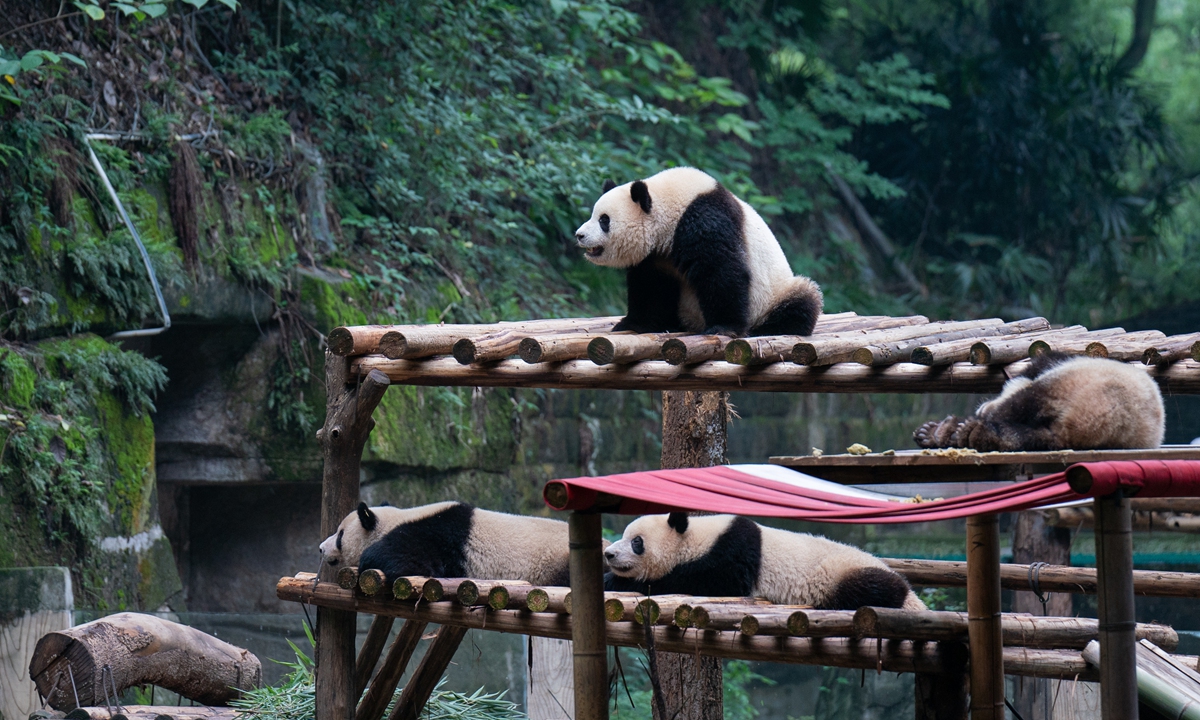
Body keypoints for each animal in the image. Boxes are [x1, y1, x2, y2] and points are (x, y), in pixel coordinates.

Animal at [574, 167, 823, 337]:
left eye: (604, 220)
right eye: (594, 215)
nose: (579, 235)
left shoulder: (706, 220)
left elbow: (721, 270)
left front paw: (723, 327)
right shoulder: (656, 256)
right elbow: (650, 285)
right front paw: (634, 323)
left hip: (773, 295)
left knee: (802, 299)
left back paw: (769, 326)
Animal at [603, 512, 925, 611]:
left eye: (636, 542)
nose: (609, 554)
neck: (695, 537)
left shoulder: (732, 552)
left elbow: (715, 582)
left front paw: (616, 580)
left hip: (843, 571)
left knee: (877, 587)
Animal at [914, 352, 1165, 452]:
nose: (982, 407)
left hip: (1077, 384)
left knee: (1024, 403)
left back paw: (951, 431)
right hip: (1060, 432)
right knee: (1033, 437)